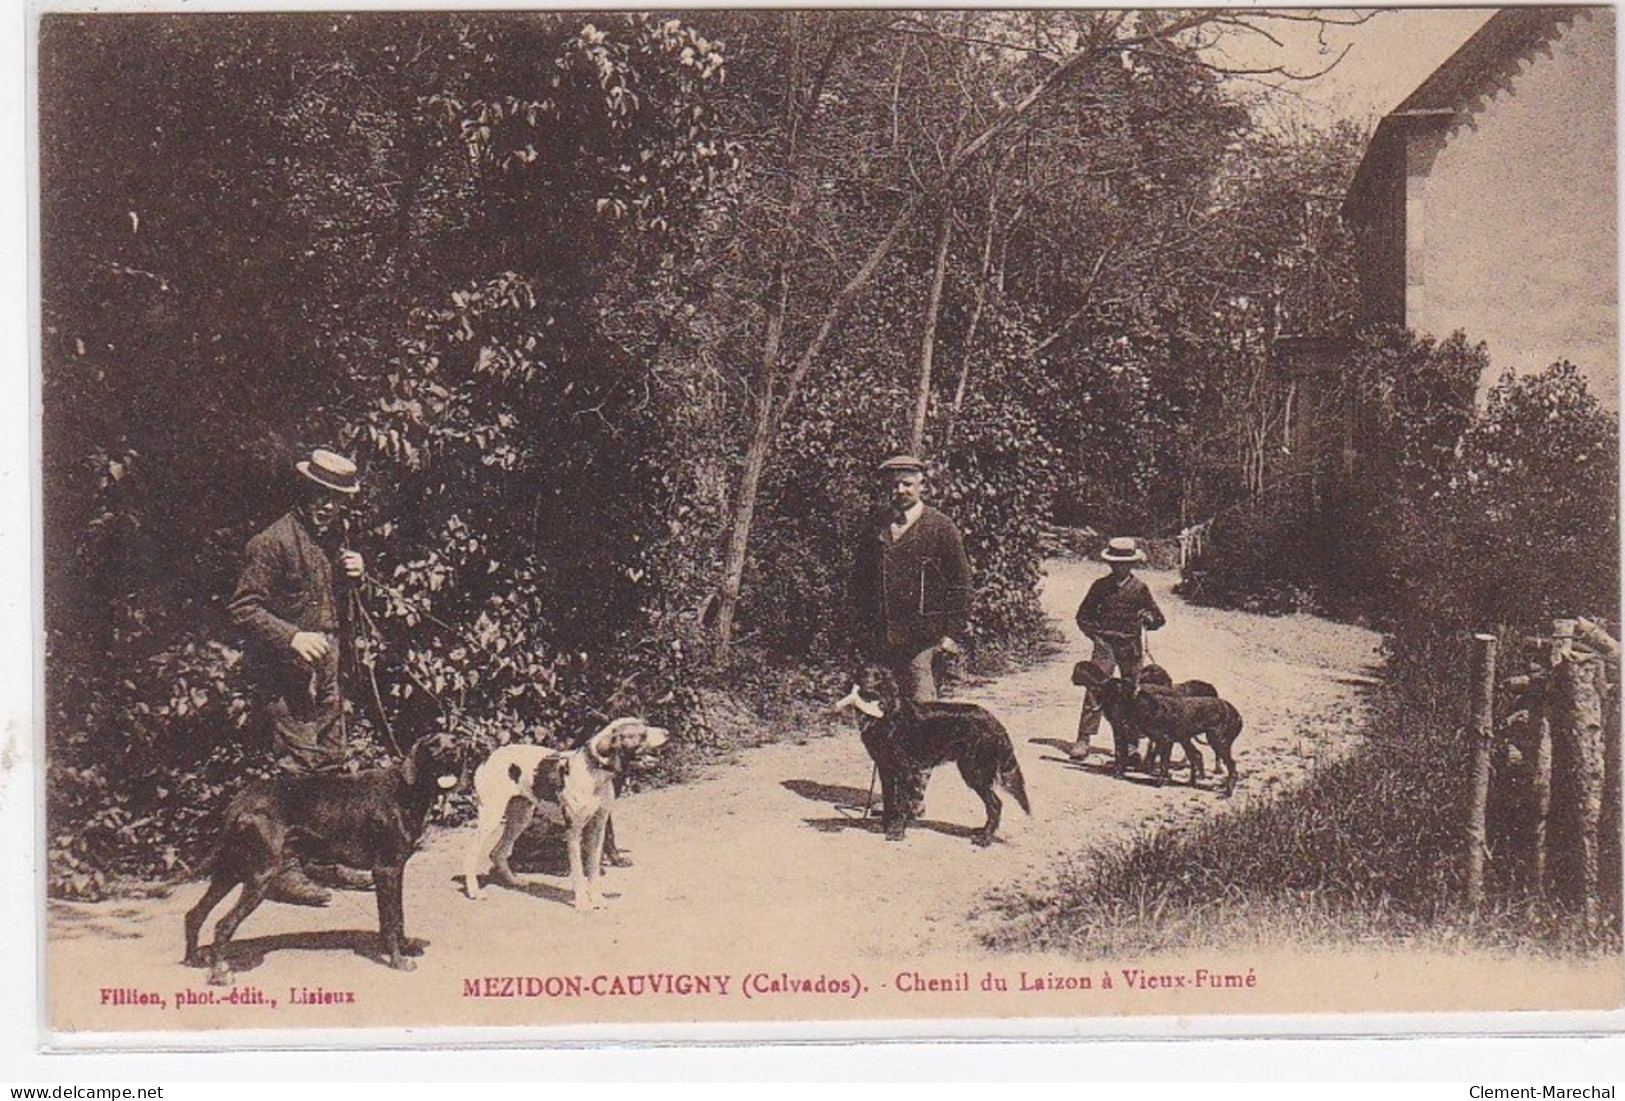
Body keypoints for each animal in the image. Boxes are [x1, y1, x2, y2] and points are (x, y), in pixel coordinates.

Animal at [184, 737, 464, 987]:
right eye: (435, 744)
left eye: (455, 742)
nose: (451, 754)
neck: (406, 789)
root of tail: (240, 801)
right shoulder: (386, 870)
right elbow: (390, 920)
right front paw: (397, 961)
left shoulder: (396, 870)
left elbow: (398, 916)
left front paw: (405, 948)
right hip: (260, 876)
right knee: (223, 924)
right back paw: (220, 974)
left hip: (232, 871)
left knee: (194, 914)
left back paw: (193, 959)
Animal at [464, 721, 666, 909]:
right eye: (642, 733)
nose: (667, 732)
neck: (594, 773)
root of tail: (488, 758)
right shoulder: (573, 832)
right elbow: (578, 870)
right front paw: (583, 903)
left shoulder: (597, 829)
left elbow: (593, 868)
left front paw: (597, 899)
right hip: (492, 817)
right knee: (473, 853)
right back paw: (474, 891)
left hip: (520, 818)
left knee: (497, 853)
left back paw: (515, 881)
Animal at [838, 665, 1027, 850]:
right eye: (863, 674)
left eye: (878, 677)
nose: (867, 688)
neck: (884, 714)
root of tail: (993, 720)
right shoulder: (885, 768)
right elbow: (889, 800)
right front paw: (886, 824)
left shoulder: (905, 770)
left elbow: (901, 803)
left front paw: (896, 831)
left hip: (975, 771)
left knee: (995, 804)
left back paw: (985, 838)